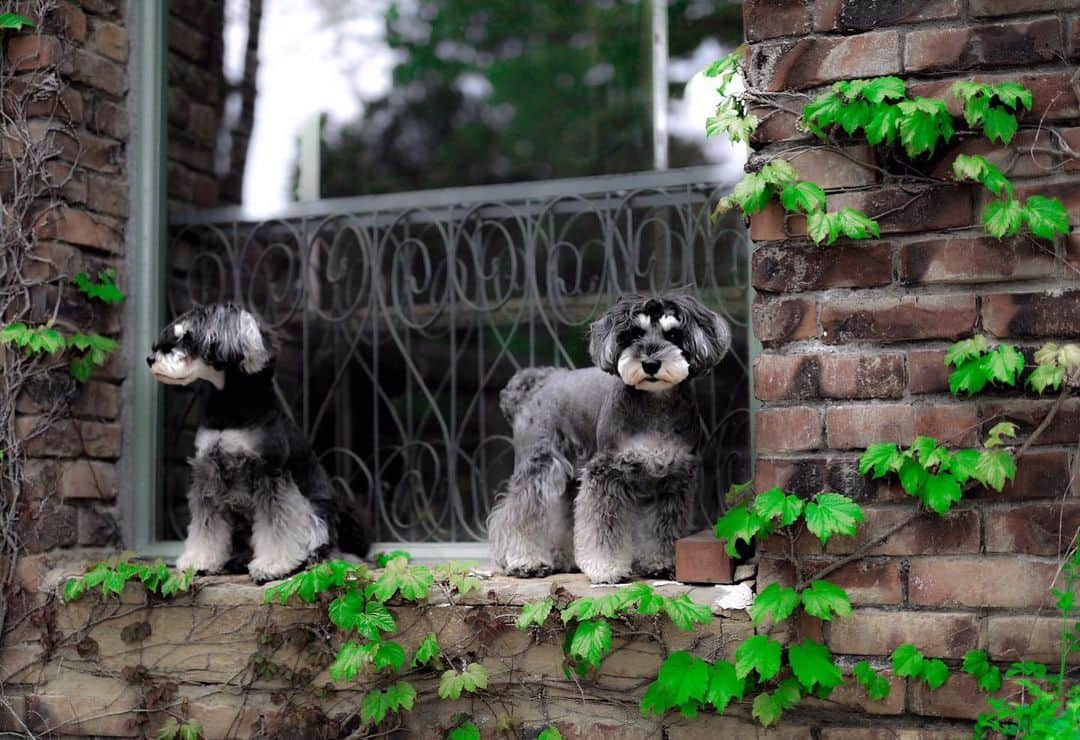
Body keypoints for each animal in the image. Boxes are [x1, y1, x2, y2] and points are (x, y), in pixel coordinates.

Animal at [146, 302, 371, 579]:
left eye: (189, 338)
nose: (151, 359)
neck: (230, 407)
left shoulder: (270, 475)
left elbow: (277, 525)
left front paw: (273, 565)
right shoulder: (207, 473)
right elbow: (206, 524)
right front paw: (200, 559)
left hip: (315, 514)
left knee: (319, 544)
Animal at [492, 293, 734, 583]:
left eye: (674, 334)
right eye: (634, 334)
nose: (650, 364)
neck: (655, 403)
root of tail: (541, 381)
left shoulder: (673, 479)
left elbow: (663, 526)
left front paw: (660, 562)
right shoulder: (606, 473)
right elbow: (602, 525)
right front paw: (605, 567)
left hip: (572, 476)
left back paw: (564, 559)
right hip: (539, 465)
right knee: (519, 511)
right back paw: (525, 561)